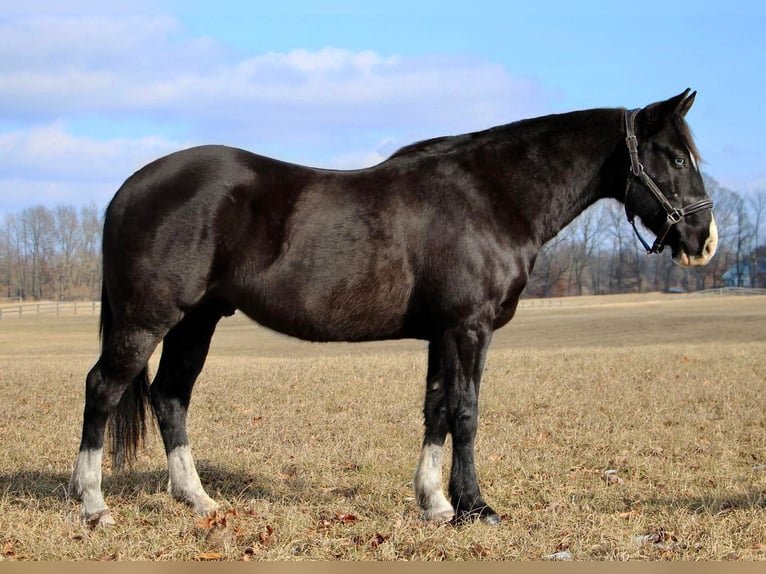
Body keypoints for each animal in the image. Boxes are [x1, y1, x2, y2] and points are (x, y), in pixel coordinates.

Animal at [69, 89, 716, 528]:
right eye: (675, 157)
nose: (703, 241)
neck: (493, 195)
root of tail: (130, 188)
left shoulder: (442, 334)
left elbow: (435, 411)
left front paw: (433, 503)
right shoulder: (469, 329)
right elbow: (466, 413)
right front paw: (474, 507)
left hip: (196, 321)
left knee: (170, 396)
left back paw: (196, 498)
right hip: (147, 319)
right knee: (103, 388)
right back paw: (93, 503)